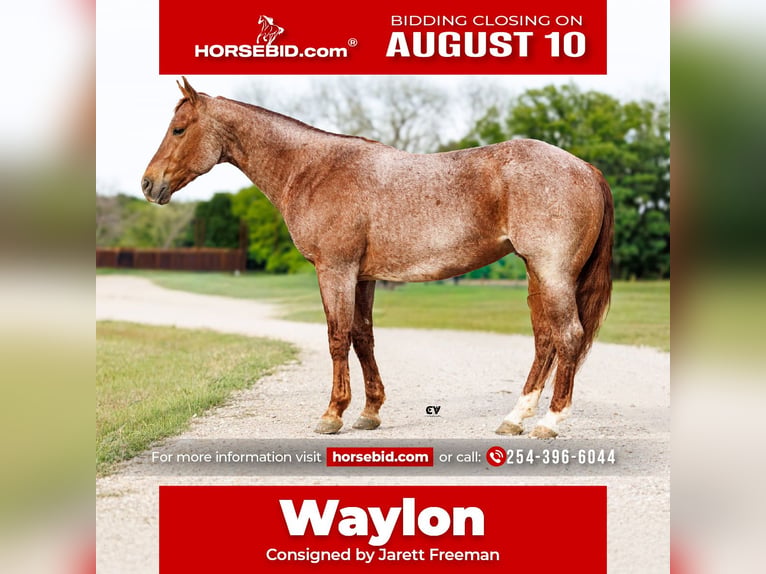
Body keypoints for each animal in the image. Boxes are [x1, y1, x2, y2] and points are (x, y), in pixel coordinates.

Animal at [142, 77, 613, 438]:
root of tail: (586, 168)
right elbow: (362, 336)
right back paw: (515, 418)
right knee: (545, 339)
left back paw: (549, 422)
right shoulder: (363, 276)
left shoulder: (335, 270)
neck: (313, 169)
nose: (148, 184)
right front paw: (369, 412)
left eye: (179, 129)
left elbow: (337, 338)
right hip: (538, 273)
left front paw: (332, 414)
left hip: (551, 272)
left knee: (567, 336)